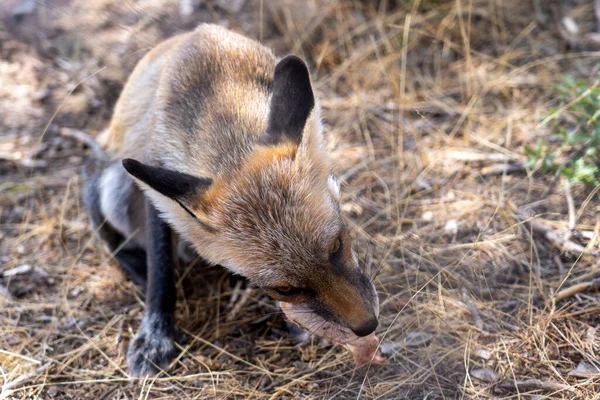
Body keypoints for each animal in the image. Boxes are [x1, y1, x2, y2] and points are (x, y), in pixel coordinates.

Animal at [84, 23, 380, 376]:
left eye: (337, 245)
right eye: (285, 288)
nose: (368, 325)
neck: (223, 98)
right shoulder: (157, 188)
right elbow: (161, 276)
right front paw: (156, 337)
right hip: (113, 187)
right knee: (108, 229)